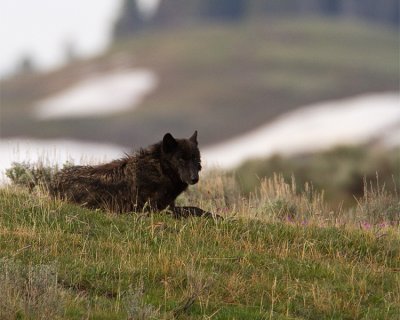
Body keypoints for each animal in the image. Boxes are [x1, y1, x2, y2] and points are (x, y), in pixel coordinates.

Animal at [51, 130, 217, 218]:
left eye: (195, 159)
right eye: (181, 159)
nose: (194, 178)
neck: (159, 170)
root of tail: (52, 183)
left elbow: (194, 208)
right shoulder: (155, 209)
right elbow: (193, 209)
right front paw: (217, 217)